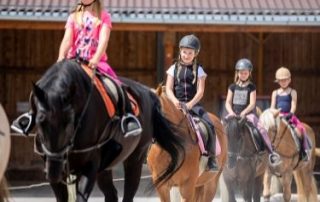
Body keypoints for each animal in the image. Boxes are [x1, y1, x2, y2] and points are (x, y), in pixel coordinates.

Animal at [31, 59, 185, 201]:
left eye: (69, 121)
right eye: (40, 121)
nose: (53, 171)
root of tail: (148, 93)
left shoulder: (89, 166)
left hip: (135, 158)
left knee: (128, 192)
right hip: (105, 167)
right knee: (112, 194)